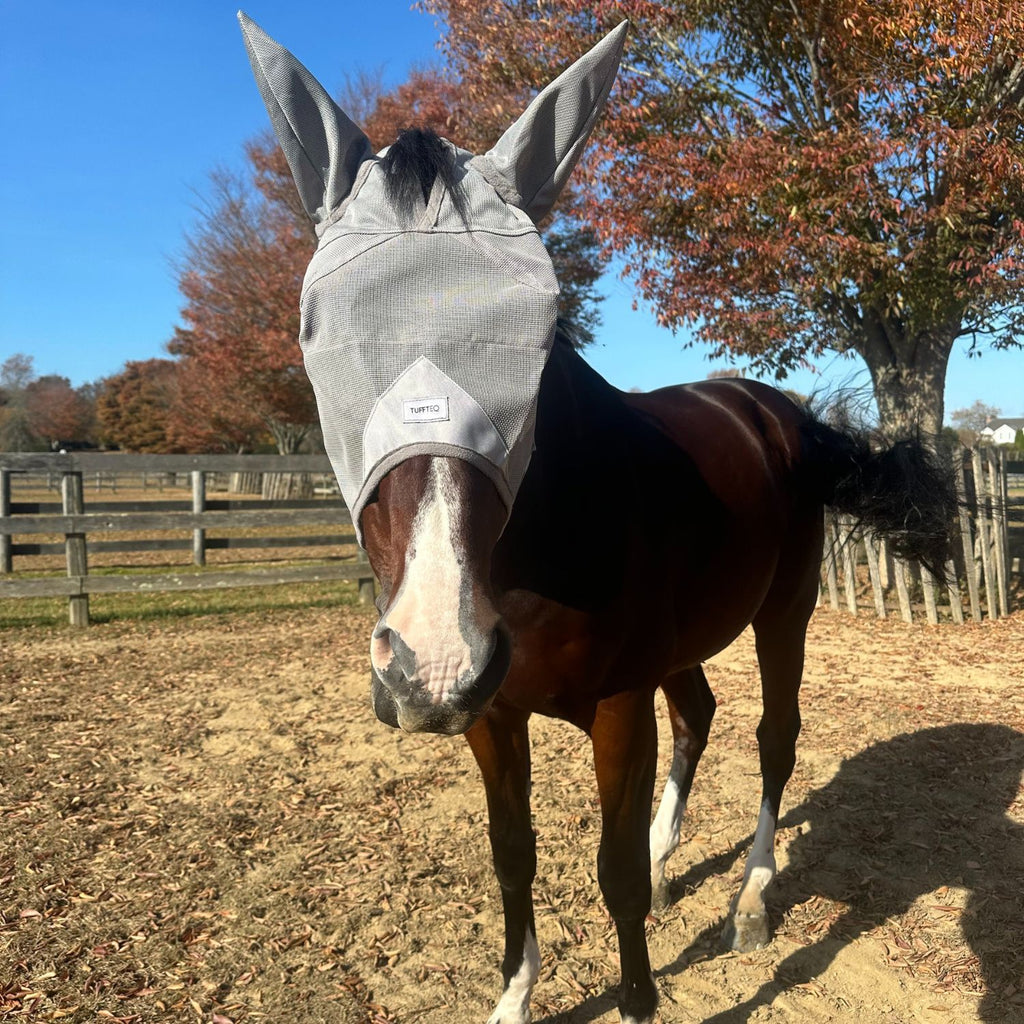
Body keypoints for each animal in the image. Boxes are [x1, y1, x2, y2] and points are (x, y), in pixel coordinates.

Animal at [239, 16, 956, 1023]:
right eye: (318, 338)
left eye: (538, 338)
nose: (432, 663)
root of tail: (779, 414)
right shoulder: (494, 717)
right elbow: (514, 858)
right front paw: (514, 998)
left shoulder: (618, 707)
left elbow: (609, 872)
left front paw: (642, 993)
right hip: (685, 644)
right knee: (700, 715)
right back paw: (670, 862)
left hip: (784, 617)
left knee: (774, 741)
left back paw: (751, 901)